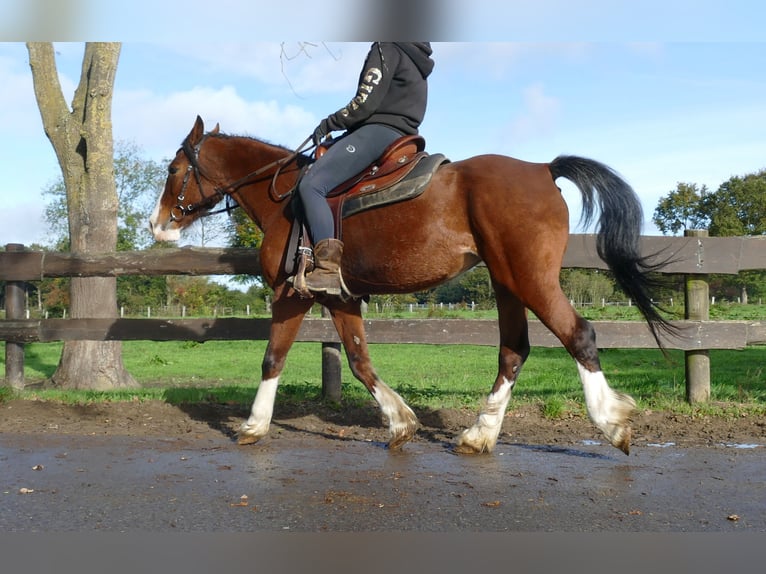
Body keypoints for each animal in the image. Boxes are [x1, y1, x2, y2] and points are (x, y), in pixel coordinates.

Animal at [150, 115, 672, 455]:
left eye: (174, 170)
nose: (158, 225)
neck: (285, 198)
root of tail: (542, 168)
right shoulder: (338, 297)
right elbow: (359, 360)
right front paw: (400, 423)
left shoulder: (290, 293)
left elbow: (272, 357)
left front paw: (254, 425)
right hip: (506, 282)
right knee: (514, 350)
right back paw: (479, 435)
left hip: (531, 280)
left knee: (578, 335)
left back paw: (612, 424)